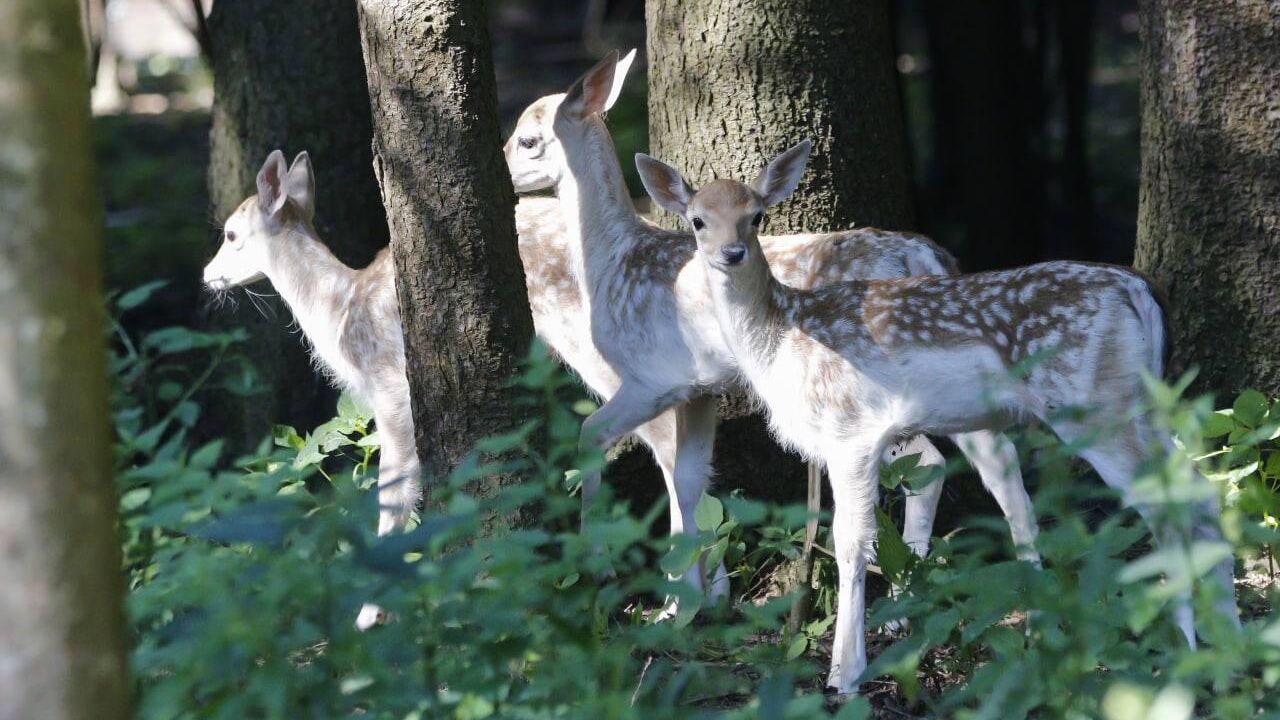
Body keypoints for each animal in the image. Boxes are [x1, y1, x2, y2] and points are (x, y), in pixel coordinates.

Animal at [499, 53, 1039, 609]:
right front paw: (697, 598)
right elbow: (690, 476)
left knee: (930, 464)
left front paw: (627, 579)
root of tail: (927, 255)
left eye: (528, 139)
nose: (504, 172)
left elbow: (595, 440)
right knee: (998, 460)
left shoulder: (650, 377)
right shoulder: (699, 388)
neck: (611, 260)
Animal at [640, 141, 1239, 696]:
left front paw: (845, 673)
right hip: (1142, 407)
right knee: (1202, 496)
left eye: (757, 215)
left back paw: (1184, 649)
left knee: (1168, 509)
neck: (781, 337)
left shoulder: (851, 431)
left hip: (1097, 407)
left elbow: (851, 541)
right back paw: (1224, 646)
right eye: (698, 220)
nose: (733, 252)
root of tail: (1140, 288)